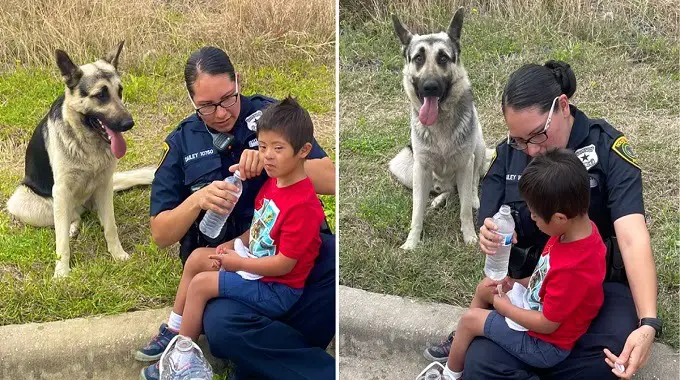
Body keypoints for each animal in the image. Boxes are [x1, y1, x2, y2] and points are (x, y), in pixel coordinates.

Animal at [5, 41, 154, 278]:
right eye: (101, 95)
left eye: (120, 91)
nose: (129, 124)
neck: (88, 144)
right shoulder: (61, 190)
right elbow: (61, 243)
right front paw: (61, 272)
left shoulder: (104, 184)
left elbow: (111, 227)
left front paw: (118, 255)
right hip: (24, 201)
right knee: (69, 218)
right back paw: (71, 226)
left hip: (100, 192)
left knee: (92, 214)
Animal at [388, 8, 488, 249]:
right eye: (418, 58)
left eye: (443, 58)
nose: (430, 87)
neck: (440, 122)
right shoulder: (421, 168)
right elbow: (416, 212)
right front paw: (412, 242)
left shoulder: (465, 163)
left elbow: (464, 210)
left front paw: (469, 236)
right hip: (402, 165)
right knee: (447, 190)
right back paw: (439, 198)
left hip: (479, 147)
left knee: (471, 184)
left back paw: (472, 198)